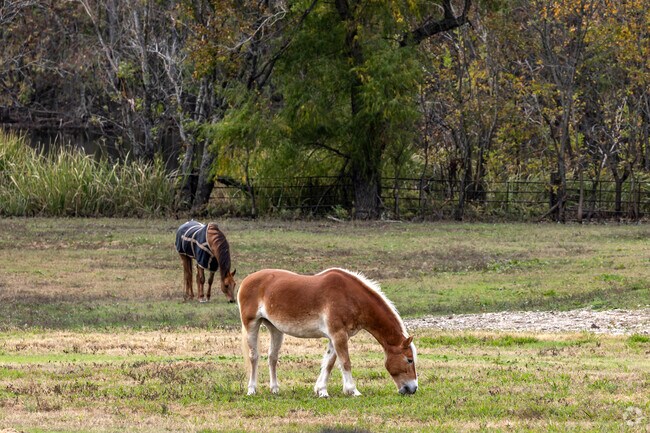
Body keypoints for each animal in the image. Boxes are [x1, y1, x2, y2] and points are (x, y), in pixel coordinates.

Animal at [238, 267, 418, 397]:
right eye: (409, 360)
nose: (412, 388)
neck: (351, 296)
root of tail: (246, 280)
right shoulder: (338, 335)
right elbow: (345, 362)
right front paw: (353, 390)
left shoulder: (335, 337)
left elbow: (329, 363)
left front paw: (321, 390)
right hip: (251, 324)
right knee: (254, 357)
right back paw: (251, 389)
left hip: (275, 329)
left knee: (272, 357)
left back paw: (274, 389)